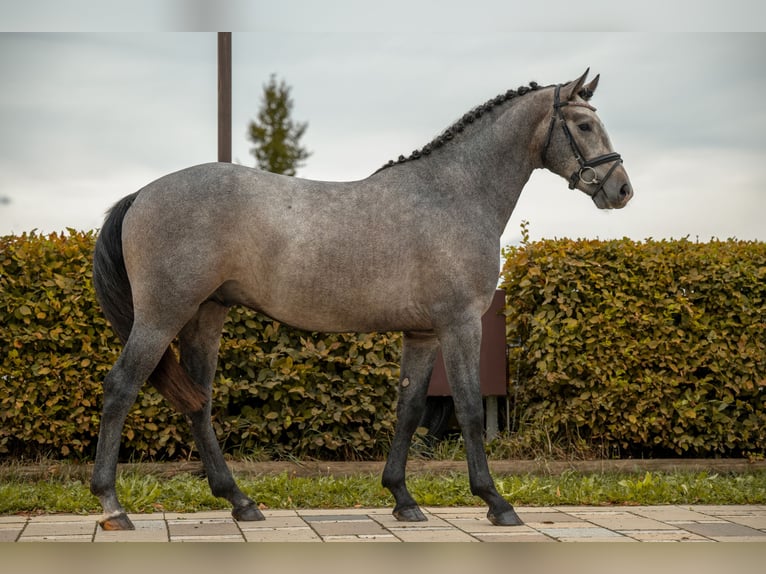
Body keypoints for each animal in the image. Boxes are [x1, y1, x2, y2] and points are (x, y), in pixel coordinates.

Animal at [90, 69, 633, 530]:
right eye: (584, 124)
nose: (622, 190)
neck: (454, 194)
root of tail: (142, 194)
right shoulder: (461, 325)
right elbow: (469, 409)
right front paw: (496, 502)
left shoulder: (423, 332)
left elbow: (410, 409)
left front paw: (403, 499)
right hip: (161, 317)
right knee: (121, 388)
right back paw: (113, 505)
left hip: (206, 315)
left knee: (198, 402)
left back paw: (240, 501)